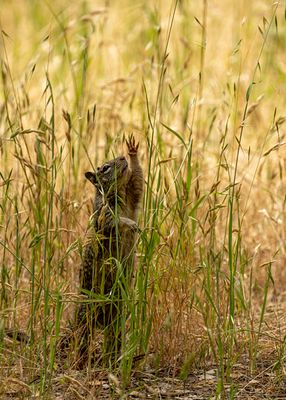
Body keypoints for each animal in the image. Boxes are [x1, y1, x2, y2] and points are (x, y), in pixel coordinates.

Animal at [75, 135, 144, 362]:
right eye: (105, 168)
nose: (122, 157)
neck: (119, 192)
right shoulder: (105, 216)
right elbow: (114, 223)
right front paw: (131, 225)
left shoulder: (134, 194)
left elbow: (139, 179)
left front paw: (132, 152)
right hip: (86, 317)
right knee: (81, 338)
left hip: (117, 318)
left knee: (112, 338)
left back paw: (112, 360)